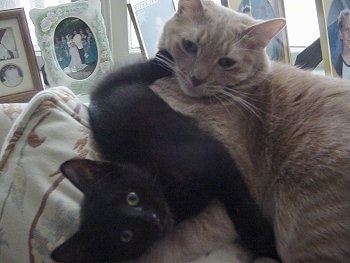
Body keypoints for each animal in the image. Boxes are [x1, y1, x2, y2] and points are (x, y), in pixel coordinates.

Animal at [51, 50, 278, 262]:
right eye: (126, 236)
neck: (169, 190)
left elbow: (239, 202)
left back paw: (167, 56)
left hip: (126, 78)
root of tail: (93, 98)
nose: (153, 218)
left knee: (148, 67)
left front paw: (265, 243)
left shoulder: (215, 156)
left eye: (131, 198)